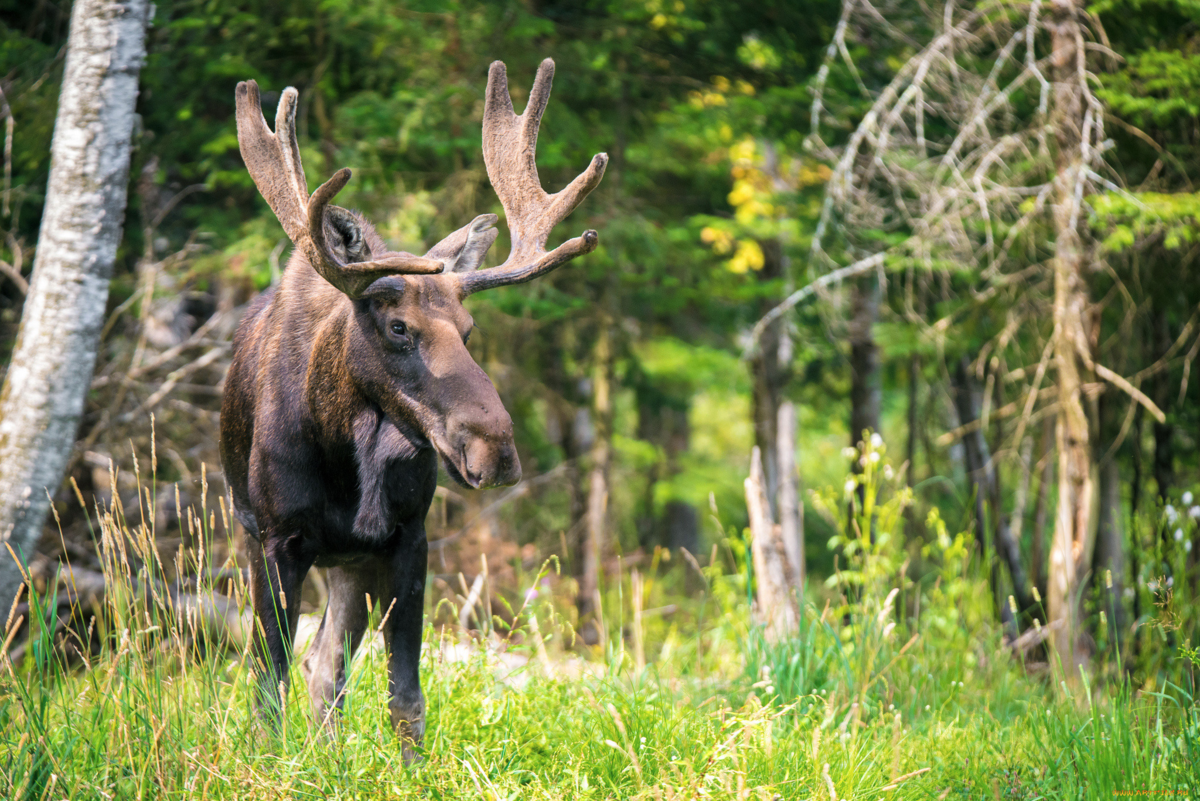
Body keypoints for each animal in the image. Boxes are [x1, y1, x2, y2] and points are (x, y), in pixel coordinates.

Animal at [220, 57, 604, 757]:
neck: (345, 451)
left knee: (326, 669)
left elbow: (405, 697)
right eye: (398, 327)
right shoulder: (279, 539)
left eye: (469, 329)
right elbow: (266, 688)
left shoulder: (408, 538)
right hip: (273, 541)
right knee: (309, 669)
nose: (496, 448)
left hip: (351, 565)